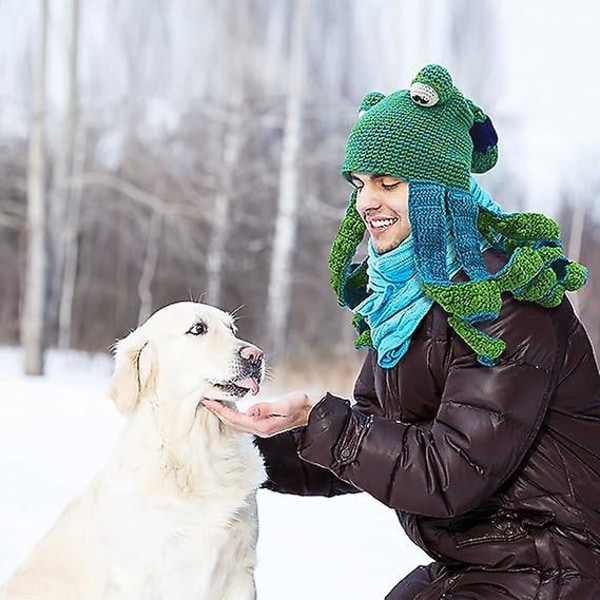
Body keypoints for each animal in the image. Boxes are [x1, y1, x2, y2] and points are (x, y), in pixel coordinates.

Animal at [0, 304, 268, 600]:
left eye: (232, 329)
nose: (257, 356)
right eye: (198, 329)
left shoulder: (240, 574)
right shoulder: (142, 575)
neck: (197, 451)